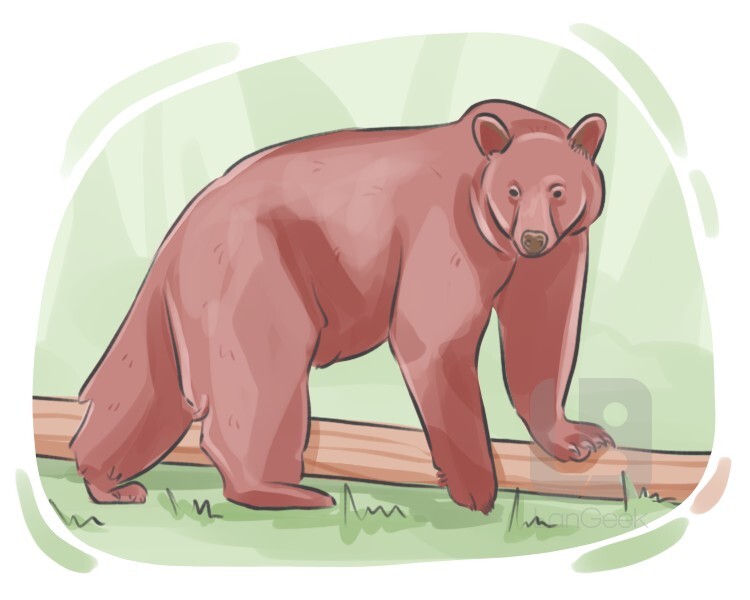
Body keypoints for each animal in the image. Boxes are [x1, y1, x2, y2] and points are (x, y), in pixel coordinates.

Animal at [70, 99, 613, 514]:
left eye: (558, 189)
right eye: (513, 189)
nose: (534, 236)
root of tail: (176, 235)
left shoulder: (562, 251)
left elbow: (543, 335)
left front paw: (579, 438)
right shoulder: (449, 230)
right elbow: (435, 343)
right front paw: (478, 488)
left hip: (179, 303)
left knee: (145, 388)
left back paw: (108, 481)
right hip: (256, 269)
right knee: (266, 373)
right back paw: (284, 490)